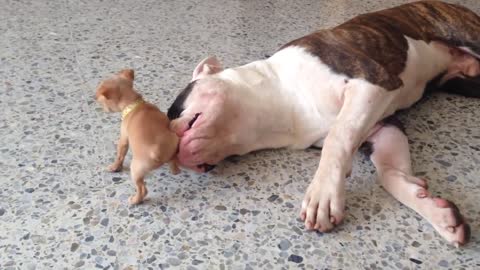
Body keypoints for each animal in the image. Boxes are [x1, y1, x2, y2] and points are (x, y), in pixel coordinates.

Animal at [95, 69, 180, 205]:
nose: (94, 97)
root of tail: (158, 152)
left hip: (135, 169)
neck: (133, 103)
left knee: (142, 189)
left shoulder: (123, 138)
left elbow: (120, 155)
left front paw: (114, 167)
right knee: (173, 161)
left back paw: (135, 200)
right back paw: (175, 170)